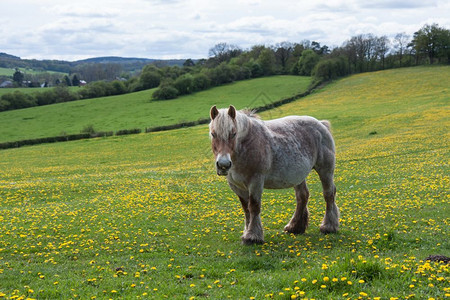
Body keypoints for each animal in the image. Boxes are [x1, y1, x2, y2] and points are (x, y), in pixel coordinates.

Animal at [209, 105, 340, 246]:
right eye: (213, 134)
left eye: (233, 134)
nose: (223, 165)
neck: (247, 145)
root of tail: (321, 124)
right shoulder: (236, 186)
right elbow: (246, 209)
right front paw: (246, 233)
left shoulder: (256, 182)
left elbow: (254, 206)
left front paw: (252, 236)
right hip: (298, 175)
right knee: (302, 196)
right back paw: (295, 227)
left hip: (325, 170)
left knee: (329, 194)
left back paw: (328, 226)